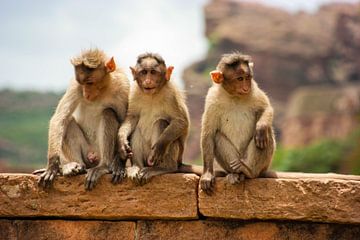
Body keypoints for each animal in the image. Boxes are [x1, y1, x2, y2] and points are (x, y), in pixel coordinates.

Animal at [36, 48, 129, 190]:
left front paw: (119, 163)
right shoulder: (75, 86)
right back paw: (73, 167)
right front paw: (52, 166)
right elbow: (60, 119)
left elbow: (127, 120)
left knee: (108, 113)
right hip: (86, 152)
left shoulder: (123, 87)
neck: (103, 90)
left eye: (89, 82)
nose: (86, 93)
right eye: (82, 83)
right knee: (68, 121)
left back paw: (103, 166)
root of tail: (93, 156)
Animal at [119, 52, 201, 186]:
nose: (148, 81)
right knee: (137, 130)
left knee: (161, 123)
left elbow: (181, 122)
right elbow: (132, 117)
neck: (152, 95)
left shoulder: (171, 94)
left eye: (153, 72)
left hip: (168, 156)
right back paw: (136, 167)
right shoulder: (134, 92)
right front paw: (121, 140)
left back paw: (164, 168)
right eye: (143, 72)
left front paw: (160, 147)